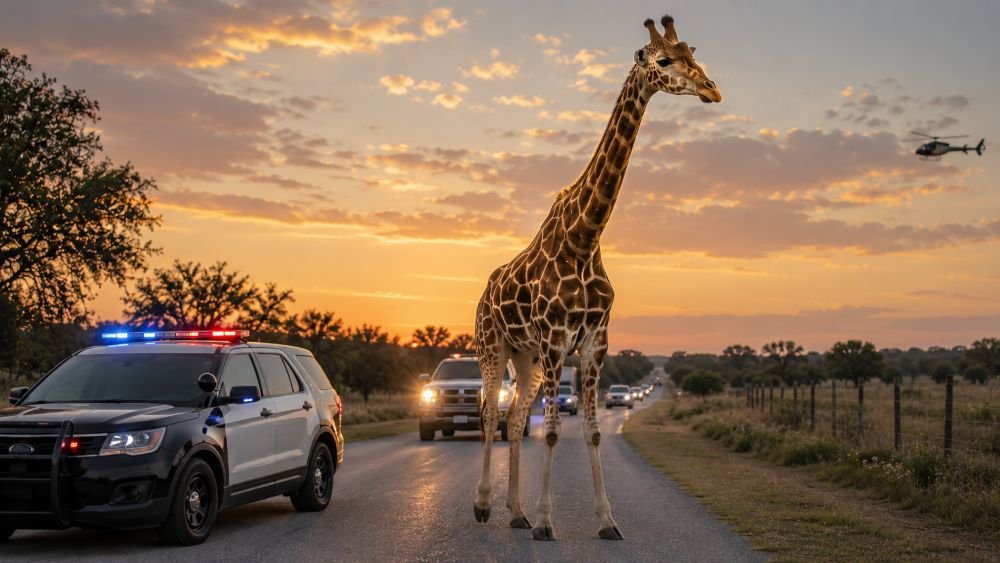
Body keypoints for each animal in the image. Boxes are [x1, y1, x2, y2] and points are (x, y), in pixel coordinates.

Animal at [473, 15, 721, 541]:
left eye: (693, 54)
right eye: (663, 60)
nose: (712, 90)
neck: (584, 238)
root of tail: (484, 294)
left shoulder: (594, 344)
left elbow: (590, 430)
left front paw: (607, 521)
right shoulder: (554, 341)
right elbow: (551, 430)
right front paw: (548, 523)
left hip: (525, 358)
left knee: (513, 418)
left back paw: (516, 513)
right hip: (494, 345)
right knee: (488, 414)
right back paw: (483, 507)